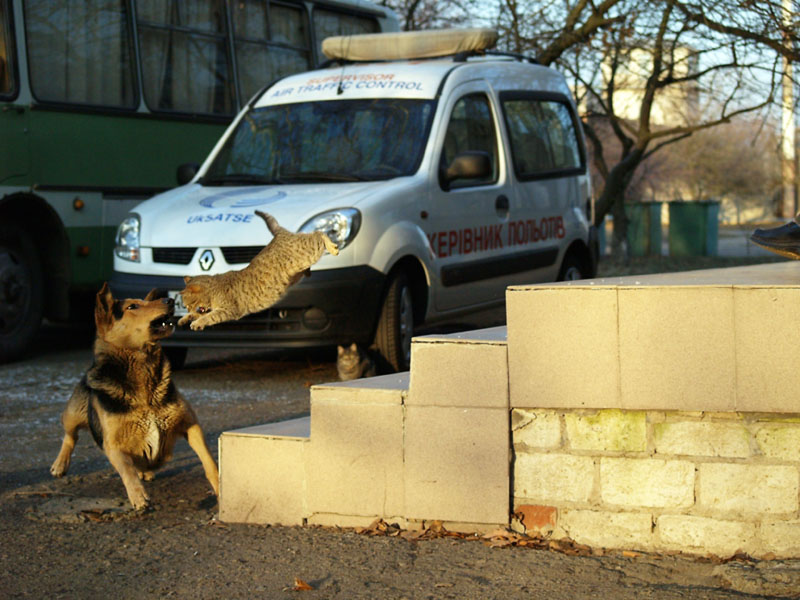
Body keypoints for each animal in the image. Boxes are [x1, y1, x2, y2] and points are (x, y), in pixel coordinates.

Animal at [49, 284, 219, 508]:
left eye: (145, 301)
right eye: (132, 306)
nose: (169, 301)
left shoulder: (191, 424)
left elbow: (209, 461)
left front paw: (220, 486)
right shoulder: (113, 446)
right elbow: (126, 469)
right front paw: (138, 495)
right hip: (73, 414)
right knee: (70, 436)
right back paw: (60, 464)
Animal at [178, 211, 338, 330]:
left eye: (189, 305)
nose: (186, 309)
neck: (212, 290)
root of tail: (279, 234)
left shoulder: (228, 310)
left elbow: (208, 317)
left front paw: (197, 322)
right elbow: (201, 315)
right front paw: (185, 318)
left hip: (308, 252)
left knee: (318, 233)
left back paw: (332, 247)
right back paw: (308, 271)